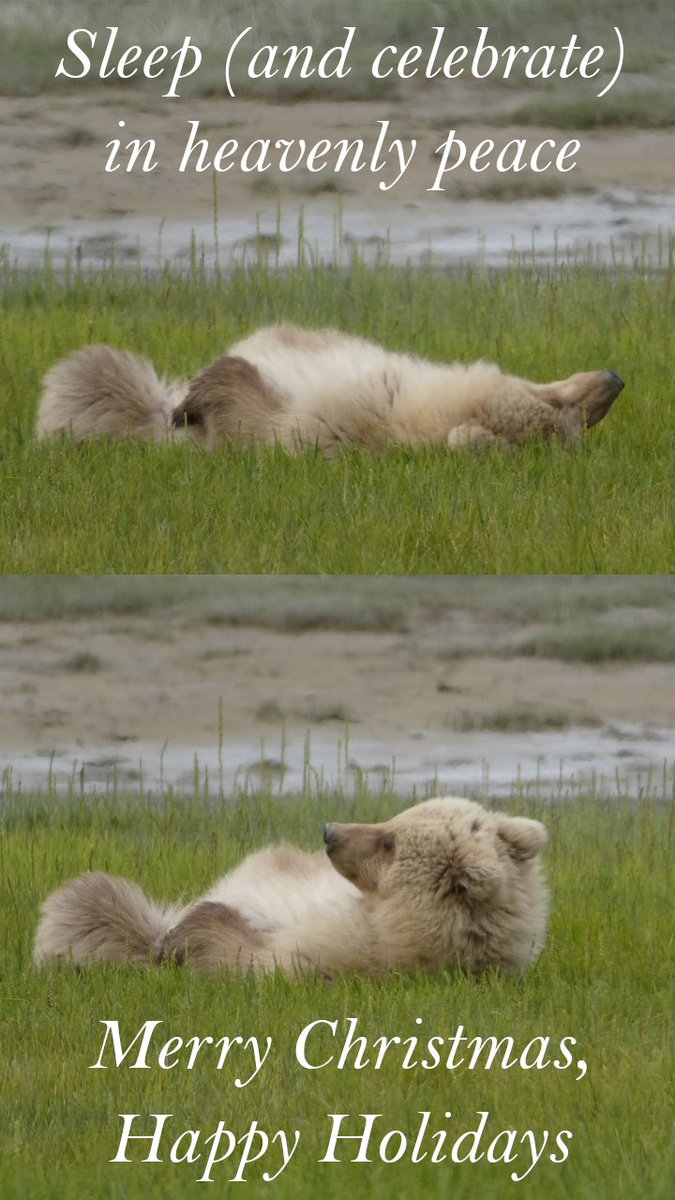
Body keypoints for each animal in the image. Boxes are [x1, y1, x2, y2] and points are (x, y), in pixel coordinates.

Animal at [33, 796, 549, 978]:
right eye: (397, 817)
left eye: (389, 842)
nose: (330, 831)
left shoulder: (331, 955)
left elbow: (239, 955)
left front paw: (182, 936)